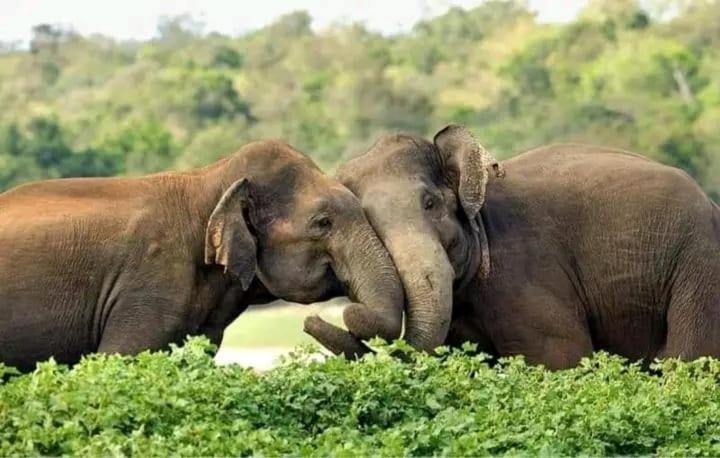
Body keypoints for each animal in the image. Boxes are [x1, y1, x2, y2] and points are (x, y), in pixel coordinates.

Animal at [308, 125, 720, 370]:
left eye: (430, 203)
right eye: (368, 221)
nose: (312, 320)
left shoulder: (527, 276)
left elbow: (558, 358)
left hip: (699, 264)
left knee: (690, 359)